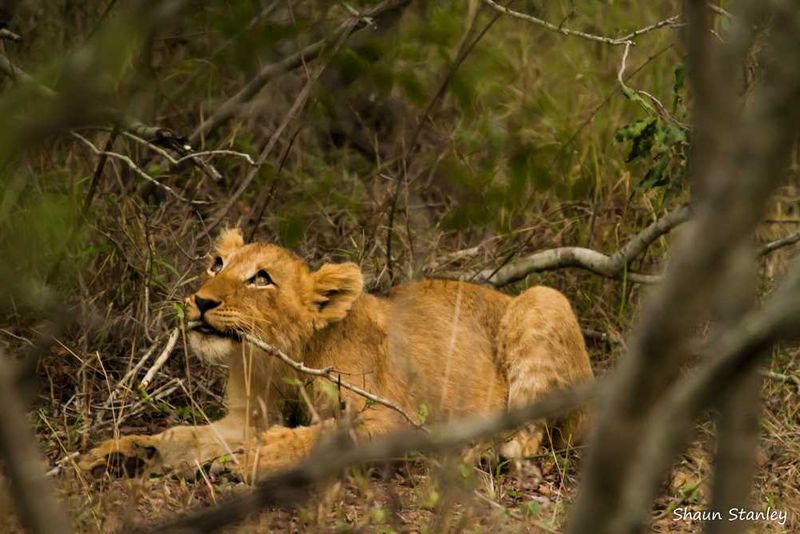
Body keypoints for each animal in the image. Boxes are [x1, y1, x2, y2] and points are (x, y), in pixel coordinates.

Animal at [79, 228, 593, 480]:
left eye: (261, 279)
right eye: (216, 264)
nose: (201, 302)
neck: (278, 356)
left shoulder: (395, 417)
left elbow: (324, 435)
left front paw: (251, 460)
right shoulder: (245, 419)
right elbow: (182, 435)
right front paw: (120, 453)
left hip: (544, 299)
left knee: (528, 435)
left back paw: (474, 452)